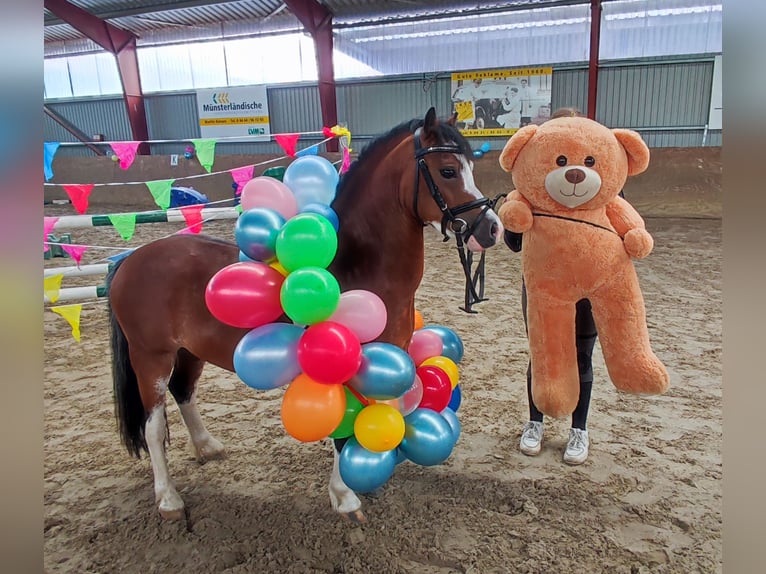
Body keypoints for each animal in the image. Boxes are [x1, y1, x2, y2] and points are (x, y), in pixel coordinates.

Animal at [107, 107, 503, 522]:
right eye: (448, 171)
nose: (493, 229)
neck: (360, 264)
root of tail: (130, 260)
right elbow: (343, 428)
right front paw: (346, 497)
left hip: (189, 353)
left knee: (183, 392)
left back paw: (207, 447)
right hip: (151, 357)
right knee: (153, 428)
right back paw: (168, 499)